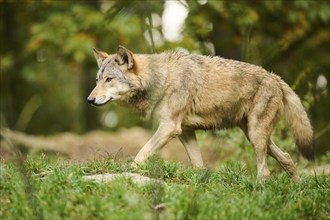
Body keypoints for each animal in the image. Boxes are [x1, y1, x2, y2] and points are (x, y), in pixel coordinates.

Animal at [87, 45, 314, 180]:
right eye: (97, 80)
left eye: (109, 79)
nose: (90, 100)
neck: (161, 79)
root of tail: (276, 77)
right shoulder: (186, 132)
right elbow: (198, 165)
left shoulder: (169, 128)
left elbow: (141, 153)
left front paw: (128, 172)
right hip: (253, 135)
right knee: (287, 158)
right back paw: (297, 190)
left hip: (256, 136)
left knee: (265, 171)